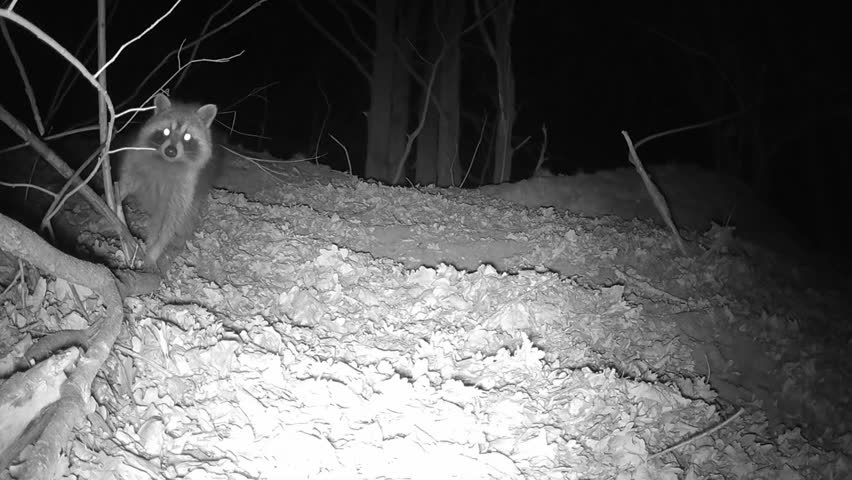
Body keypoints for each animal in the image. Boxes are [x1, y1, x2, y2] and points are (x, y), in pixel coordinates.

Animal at [118, 93, 219, 270]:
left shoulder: (184, 188)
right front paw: (115, 195)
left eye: (187, 136)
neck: (167, 162)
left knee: (182, 221)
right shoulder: (136, 161)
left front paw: (154, 251)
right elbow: (127, 181)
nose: (171, 151)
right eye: (166, 131)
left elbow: (169, 222)